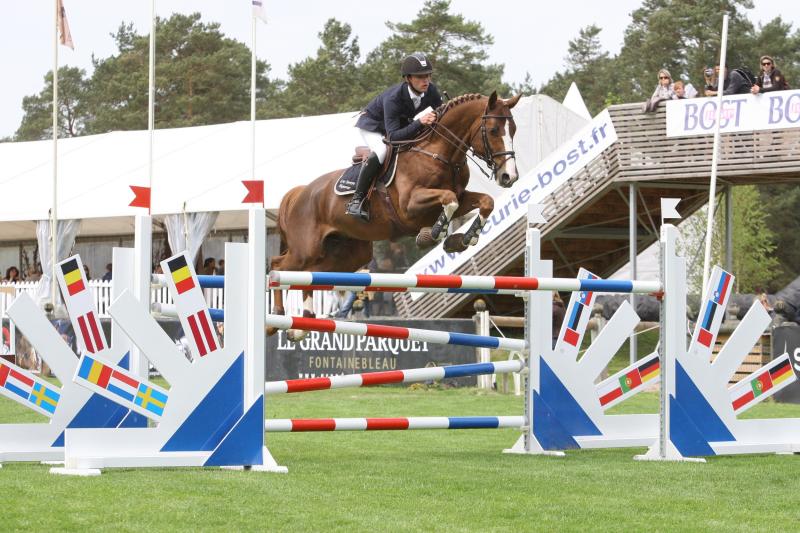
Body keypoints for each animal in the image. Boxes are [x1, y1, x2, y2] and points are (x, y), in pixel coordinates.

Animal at [269, 91, 522, 336]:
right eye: (493, 130)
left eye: (514, 130)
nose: (509, 177)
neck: (438, 153)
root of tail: (300, 193)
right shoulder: (411, 205)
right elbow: (447, 199)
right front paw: (432, 235)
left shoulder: (461, 198)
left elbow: (485, 202)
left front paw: (463, 239)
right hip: (306, 250)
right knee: (278, 266)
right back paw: (276, 320)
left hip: (349, 255)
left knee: (311, 274)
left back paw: (302, 325)